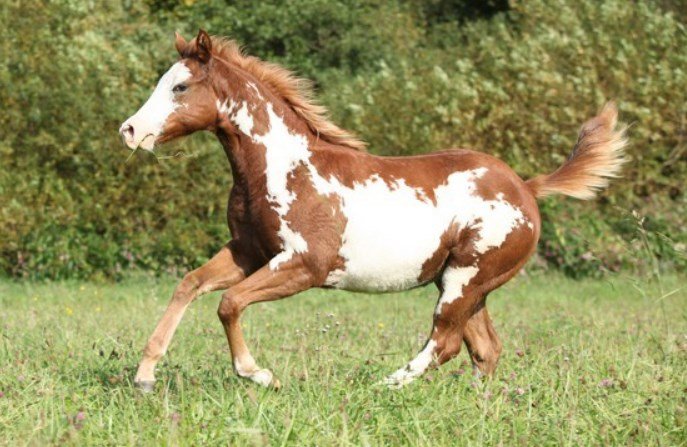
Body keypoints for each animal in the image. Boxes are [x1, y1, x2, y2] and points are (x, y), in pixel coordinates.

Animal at [119, 30, 627, 390]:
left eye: (180, 86)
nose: (130, 130)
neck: (283, 168)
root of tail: (525, 187)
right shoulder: (250, 251)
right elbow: (191, 285)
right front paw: (145, 375)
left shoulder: (305, 264)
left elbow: (229, 304)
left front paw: (258, 374)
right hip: (465, 283)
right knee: (484, 349)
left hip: (465, 281)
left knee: (444, 343)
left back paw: (382, 386)